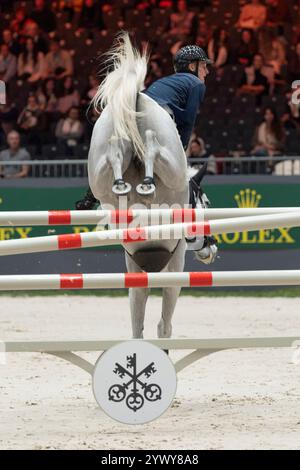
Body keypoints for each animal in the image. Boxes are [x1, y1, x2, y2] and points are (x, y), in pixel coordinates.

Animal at [89, 35, 205, 340]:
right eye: (207, 204)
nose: (210, 251)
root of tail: (138, 97)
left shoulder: (135, 267)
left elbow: (137, 320)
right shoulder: (176, 261)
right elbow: (164, 323)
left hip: (100, 160)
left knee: (115, 153)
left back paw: (121, 181)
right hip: (169, 161)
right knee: (153, 147)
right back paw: (146, 181)